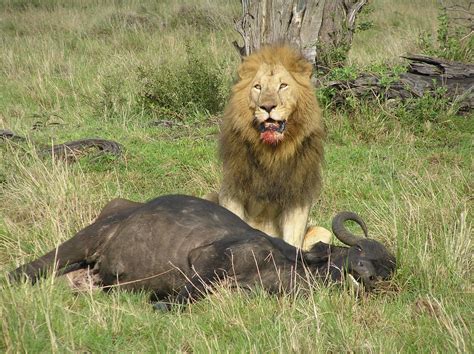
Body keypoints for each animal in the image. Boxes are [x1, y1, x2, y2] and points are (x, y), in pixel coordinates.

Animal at [10, 194, 396, 306]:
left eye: (386, 268)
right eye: (359, 254)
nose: (369, 278)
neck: (284, 266)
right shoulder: (207, 261)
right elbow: (184, 297)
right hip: (85, 239)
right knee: (31, 268)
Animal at [217, 45, 328, 249]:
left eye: (283, 85)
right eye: (257, 87)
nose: (267, 106)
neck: (272, 153)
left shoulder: (297, 196)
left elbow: (293, 240)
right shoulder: (232, 189)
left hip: (323, 231)